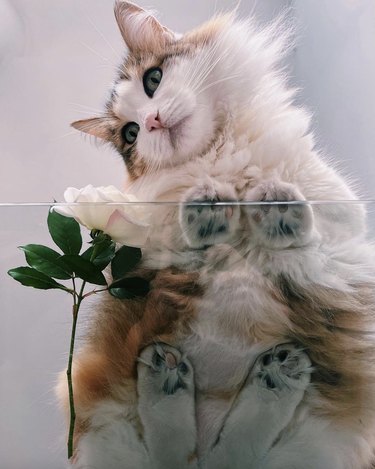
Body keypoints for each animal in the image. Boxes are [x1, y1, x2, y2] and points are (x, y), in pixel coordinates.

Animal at [57, 1, 375, 466]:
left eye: (153, 79)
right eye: (131, 134)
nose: (152, 121)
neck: (222, 159)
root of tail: (206, 460)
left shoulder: (345, 224)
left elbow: (306, 228)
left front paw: (275, 208)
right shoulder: (153, 247)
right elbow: (190, 235)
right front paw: (209, 208)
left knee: (236, 446)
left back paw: (273, 376)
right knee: (171, 448)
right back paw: (169, 378)